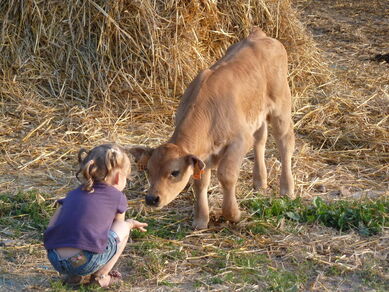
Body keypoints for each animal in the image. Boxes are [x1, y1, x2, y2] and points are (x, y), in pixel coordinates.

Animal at [130, 27, 294, 228]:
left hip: (281, 107)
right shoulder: (201, 156)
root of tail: (258, 35)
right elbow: (199, 183)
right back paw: (260, 181)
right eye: (149, 169)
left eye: (175, 172)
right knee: (260, 140)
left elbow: (226, 175)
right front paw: (201, 220)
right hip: (257, 114)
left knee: (285, 143)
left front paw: (232, 214)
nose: (152, 199)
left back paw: (287, 189)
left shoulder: (239, 141)